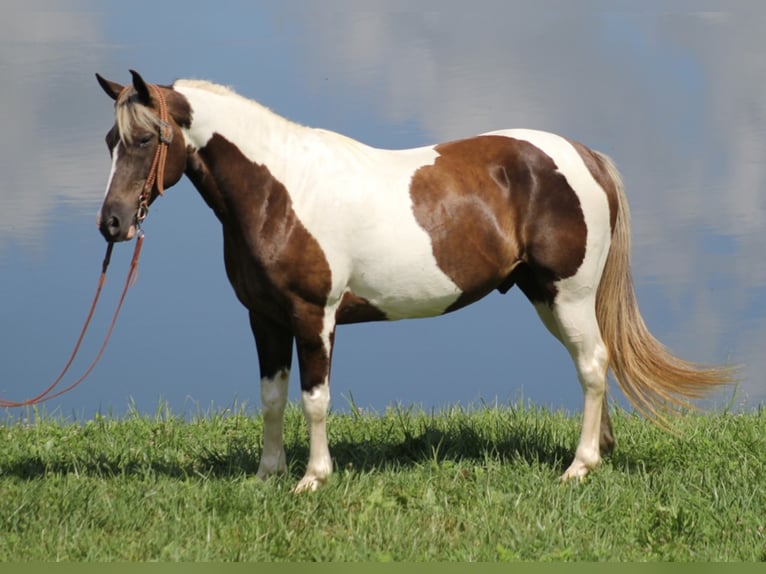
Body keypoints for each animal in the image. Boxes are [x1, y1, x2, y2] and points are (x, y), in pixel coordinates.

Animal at [97, 71, 736, 496]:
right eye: (110, 141)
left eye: (146, 139)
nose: (112, 223)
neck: (280, 192)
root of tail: (585, 156)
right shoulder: (265, 319)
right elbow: (272, 398)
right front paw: (266, 475)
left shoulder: (313, 316)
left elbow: (314, 399)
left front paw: (312, 479)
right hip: (546, 296)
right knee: (593, 363)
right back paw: (598, 451)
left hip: (567, 293)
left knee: (593, 364)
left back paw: (580, 465)